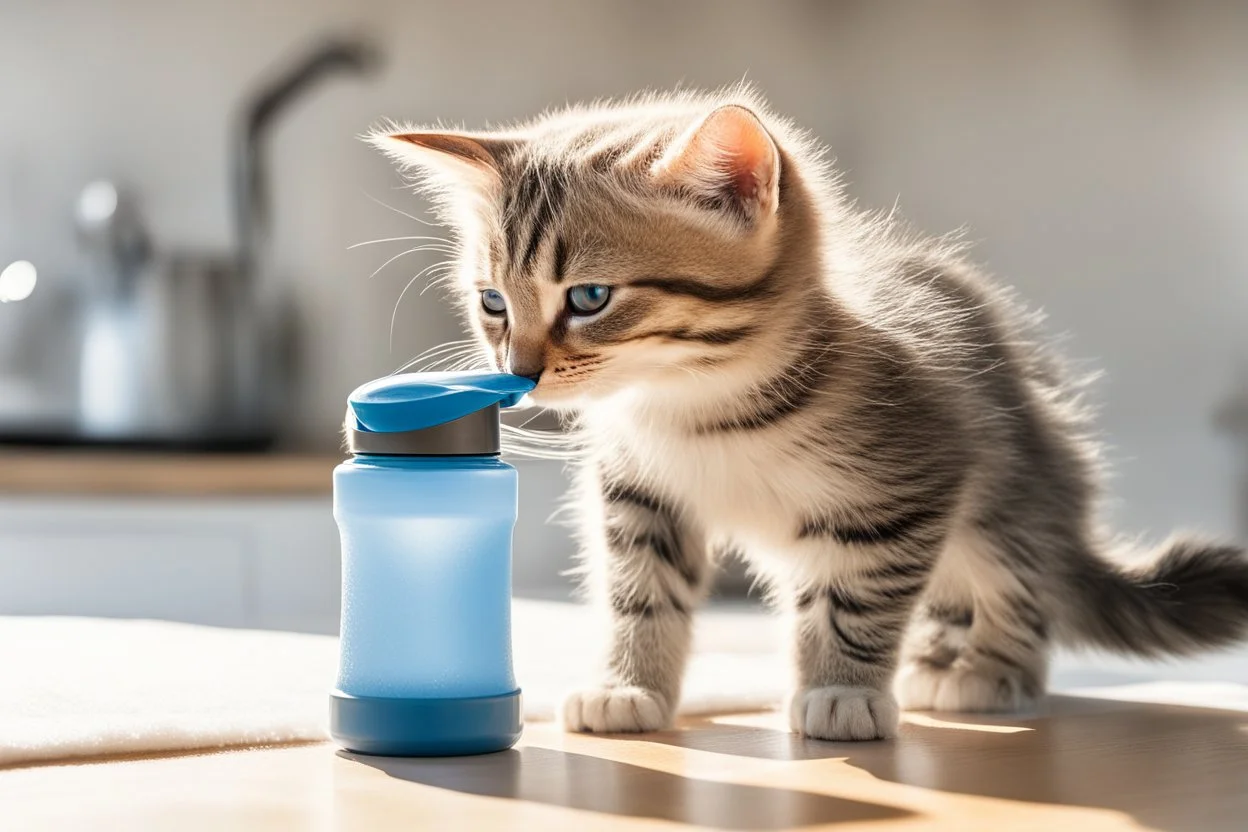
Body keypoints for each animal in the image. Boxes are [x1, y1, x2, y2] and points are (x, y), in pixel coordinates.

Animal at [369, 87, 1248, 738]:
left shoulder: (911, 479)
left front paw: (842, 692)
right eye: (492, 303)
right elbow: (641, 593)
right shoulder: (638, 495)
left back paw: (989, 672)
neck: (694, 402)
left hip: (1009, 491)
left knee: (1016, 583)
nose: (515, 372)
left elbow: (855, 602)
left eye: (589, 298)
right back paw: (936, 657)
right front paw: (628, 685)